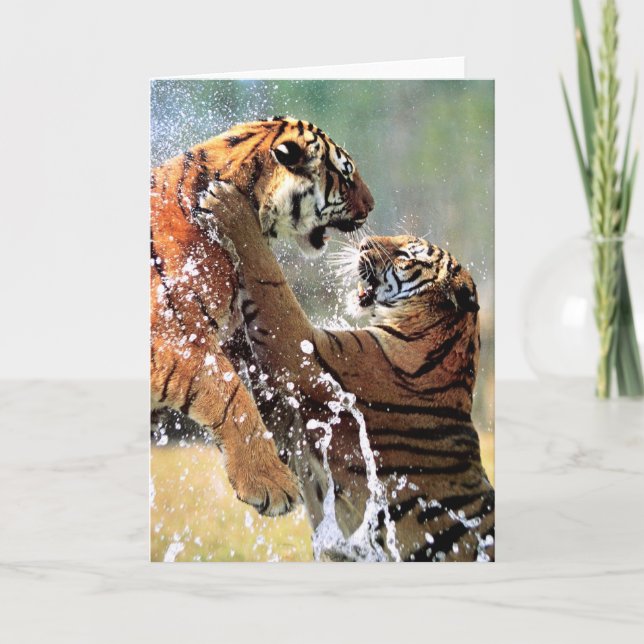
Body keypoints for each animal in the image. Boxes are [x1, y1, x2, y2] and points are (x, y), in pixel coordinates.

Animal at [206, 186, 494, 561]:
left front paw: (229, 205)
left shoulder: (308, 352)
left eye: (405, 254)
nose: (363, 243)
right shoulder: (291, 433)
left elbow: (270, 281)